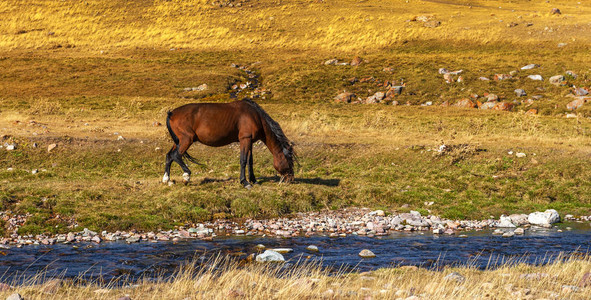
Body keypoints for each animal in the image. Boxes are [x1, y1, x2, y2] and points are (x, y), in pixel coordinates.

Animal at [163, 98, 296, 188]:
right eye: (289, 161)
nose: (291, 179)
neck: (255, 116)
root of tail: (171, 113)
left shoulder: (250, 141)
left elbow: (250, 162)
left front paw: (253, 180)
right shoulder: (245, 139)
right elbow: (243, 161)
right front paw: (245, 182)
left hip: (178, 141)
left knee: (169, 156)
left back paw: (167, 179)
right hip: (186, 140)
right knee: (176, 155)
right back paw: (186, 176)